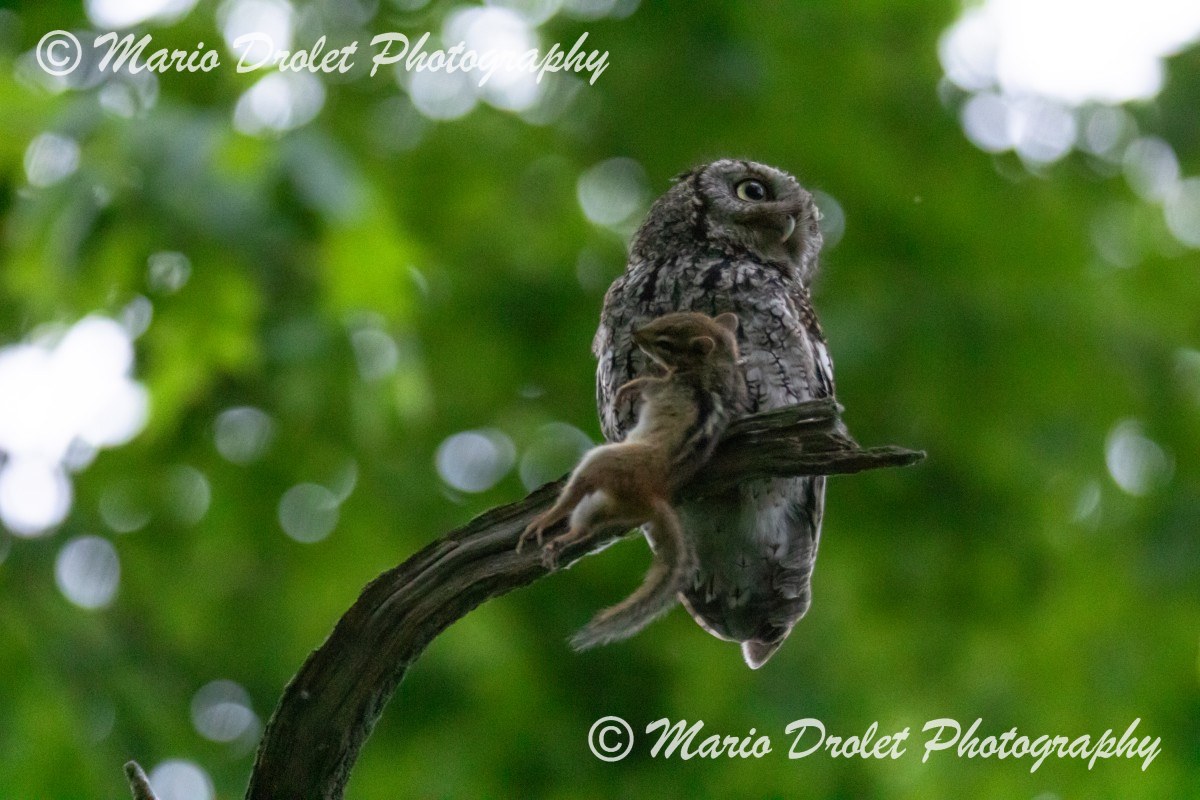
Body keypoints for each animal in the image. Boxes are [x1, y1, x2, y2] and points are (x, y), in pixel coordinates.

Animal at [518, 311, 748, 650]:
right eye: (671, 315)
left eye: (666, 341)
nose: (637, 334)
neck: (718, 364)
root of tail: (654, 496)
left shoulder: (664, 386)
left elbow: (646, 384)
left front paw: (627, 390)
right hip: (610, 506)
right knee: (586, 528)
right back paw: (563, 539)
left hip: (605, 462)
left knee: (576, 494)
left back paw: (547, 519)